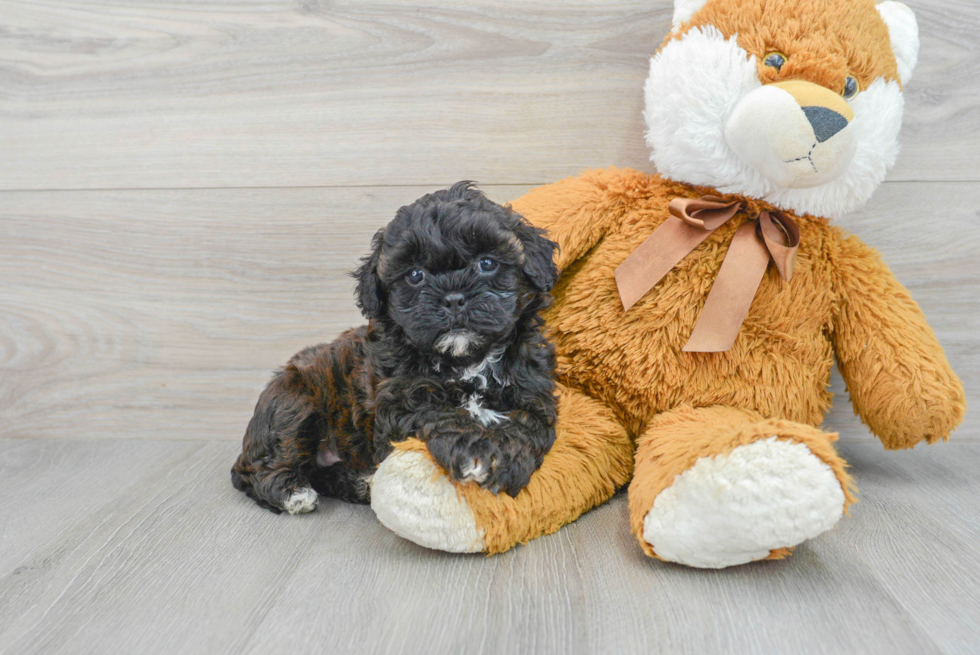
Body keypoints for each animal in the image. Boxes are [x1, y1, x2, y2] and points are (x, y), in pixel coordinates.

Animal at [231, 182, 564, 516]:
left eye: (487, 263)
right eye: (415, 275)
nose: (454, 298)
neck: (465, 361)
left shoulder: (533, 394)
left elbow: (527, 425)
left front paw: (507, 459)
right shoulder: (400, 401)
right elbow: (444, 414)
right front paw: (476, 451)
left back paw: (361, 484)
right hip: (293, 403)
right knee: (258, 467)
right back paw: (293, 492)